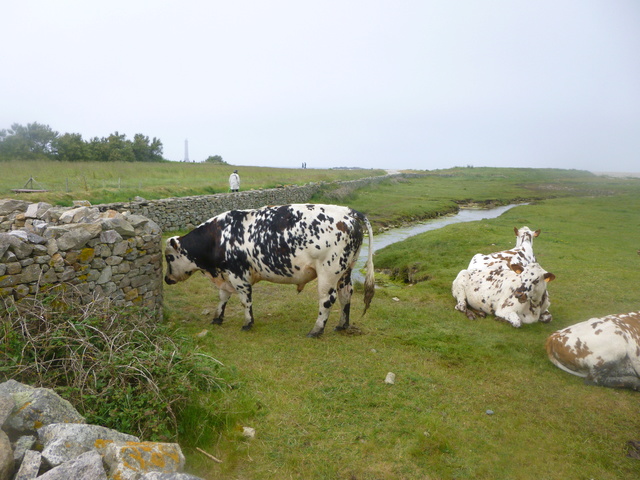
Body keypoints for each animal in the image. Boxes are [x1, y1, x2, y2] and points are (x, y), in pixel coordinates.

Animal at [164, 202, 376, 338]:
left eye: (169, 257)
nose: (166, 279)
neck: (219, 237)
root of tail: (348, 212)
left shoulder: (238, 276)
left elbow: (245, 301)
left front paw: (247, 323)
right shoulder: (226, 277)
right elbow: (223, 297)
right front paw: (217, 318)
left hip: (328, 272)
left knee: (327, 300)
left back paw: (316, 330)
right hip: (345, 271)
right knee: (345, 294)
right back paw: (342, 325)